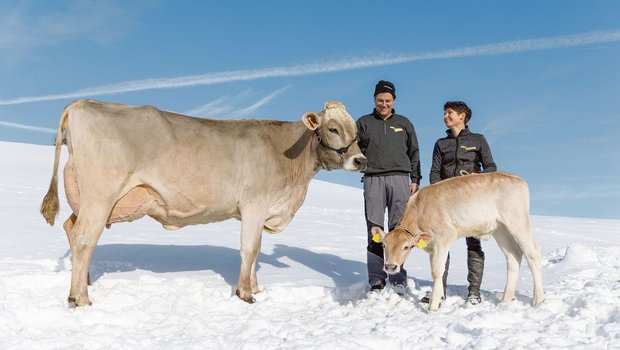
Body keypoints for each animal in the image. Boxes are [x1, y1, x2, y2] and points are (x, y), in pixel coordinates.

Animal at [41, 98, 368, 306]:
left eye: (356, 131)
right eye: (332, 129)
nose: (360, 160)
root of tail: (83, 103)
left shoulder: (262, 210)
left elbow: (257, 252)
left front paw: (257, 287)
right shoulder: (255, 203)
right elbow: (250, 249)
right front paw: (245, 294)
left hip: (86, 200)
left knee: (71, 229)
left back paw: (83, 283)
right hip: (100, 195)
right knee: (85, 238)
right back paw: (80, 298)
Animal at [372, 171, 544, 310]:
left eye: (406, 247)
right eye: (384, 245)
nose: (391, 266)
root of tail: (517, 179)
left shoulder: (443, 237)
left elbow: (437, 271)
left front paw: (433, 306)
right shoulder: (433, 247)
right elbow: (438, 271)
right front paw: (437, 299)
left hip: (517, 220)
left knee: (532, 253)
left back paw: (539, 299)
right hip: (500, 229)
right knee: (513, 255)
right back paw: (505, 299)